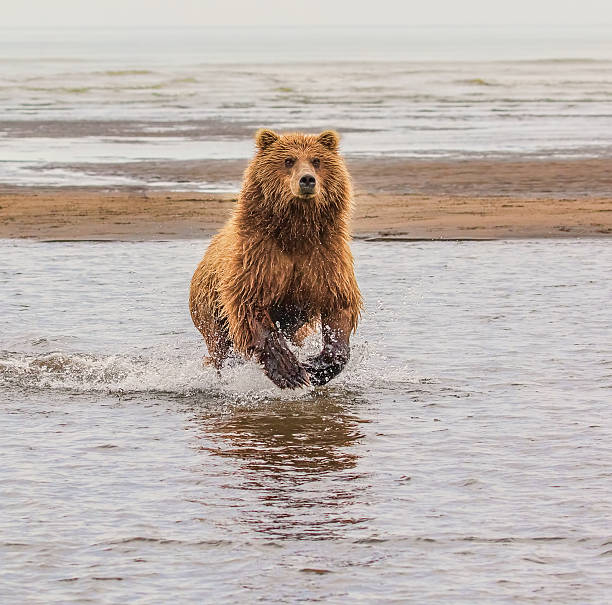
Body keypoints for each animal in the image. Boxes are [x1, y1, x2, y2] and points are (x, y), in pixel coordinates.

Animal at [191, 130, 360, 390]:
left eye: (317, 160)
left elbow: (339, 306)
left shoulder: (326, 260)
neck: (296, 233)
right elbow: (251, 306)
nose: (307, 180)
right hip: (209, 311)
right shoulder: (258, 259)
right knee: (221, 348)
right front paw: (290, 372)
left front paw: (315, 367)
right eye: (288, 160)